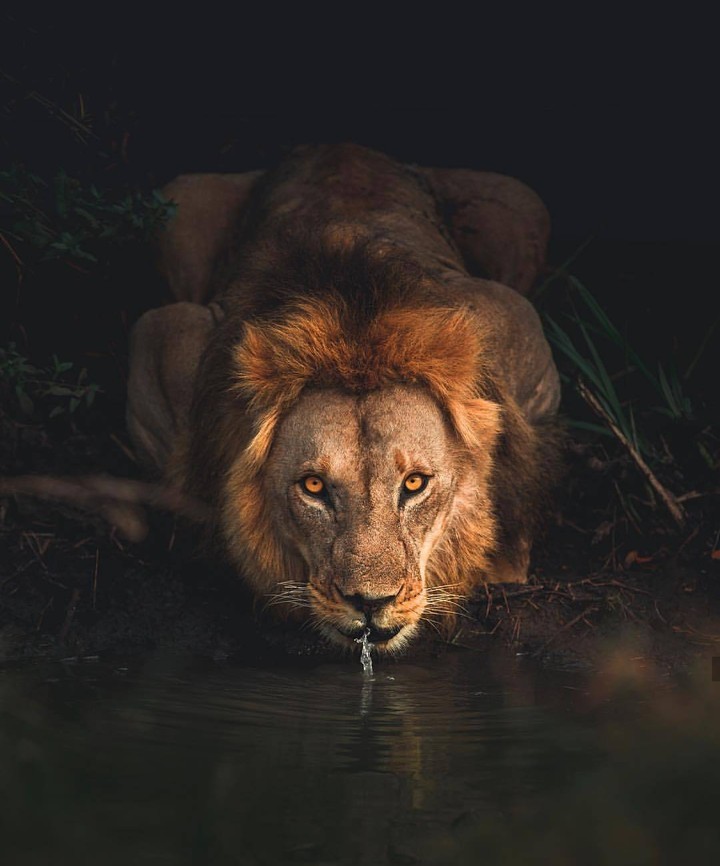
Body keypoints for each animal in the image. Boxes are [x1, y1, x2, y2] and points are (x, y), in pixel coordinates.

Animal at [126, 143, 561, 654]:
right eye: (313, 486)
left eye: (415, 484)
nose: (371, 603)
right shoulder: (167, 340)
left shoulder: (513, 320)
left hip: (523, 204)